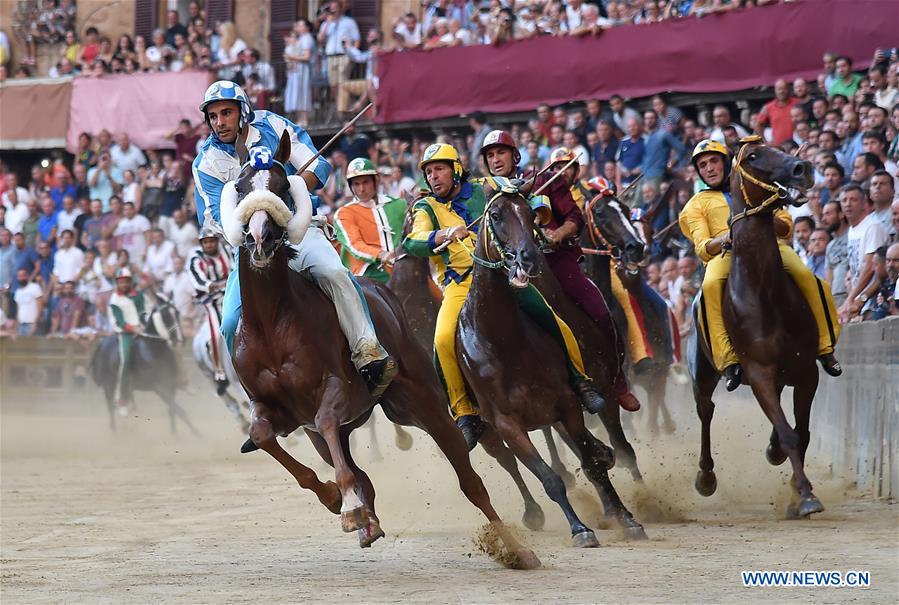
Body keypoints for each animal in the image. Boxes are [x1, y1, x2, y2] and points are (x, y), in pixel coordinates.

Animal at [89, 296, 199, 434]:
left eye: (177, 312)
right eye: (165, 315)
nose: (180, 340)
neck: (153, 349)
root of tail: (101, 345)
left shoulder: (171, 385)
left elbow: (173, 411)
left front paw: (176, 435)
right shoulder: (159, 387)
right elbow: (179, 410)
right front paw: (199, 435)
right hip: (108, 385)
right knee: (111, 409)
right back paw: (116, 433)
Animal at [225, 129, 540, 568]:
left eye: (283, 186)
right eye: (239, 187)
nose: (260, 238)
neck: (272, 323)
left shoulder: (336, 389)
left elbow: (326, 418)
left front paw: (348, 506)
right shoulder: (278, 410)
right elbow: (262, 434)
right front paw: (336, 498)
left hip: (421, 402)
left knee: (472, 480)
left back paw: (518, 549)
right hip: (363, 421)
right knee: (357, 465)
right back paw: (367, 516)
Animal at [458, 184, 648, 548]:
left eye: (530, 214)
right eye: (496, 215)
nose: (636, 246)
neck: (503, 341)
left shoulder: (580, 398)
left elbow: (603, 456)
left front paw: (633, 512)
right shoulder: (507, 423)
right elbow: (550, 477)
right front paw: (581, 528)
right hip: (491, 430)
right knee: (510, 462)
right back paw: (534, 512)